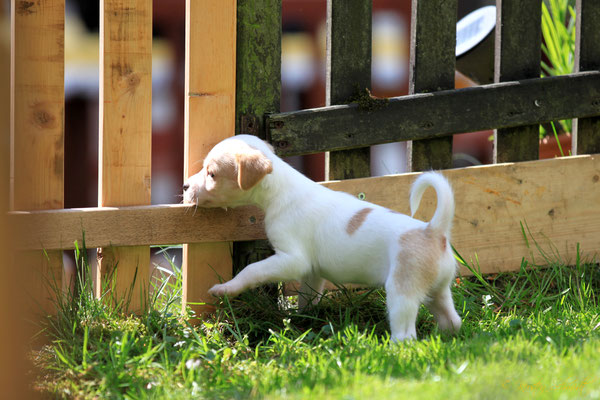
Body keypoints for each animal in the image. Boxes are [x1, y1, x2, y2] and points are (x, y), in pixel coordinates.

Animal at [180, 134, 462, 340]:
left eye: (211, 174)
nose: (184, 186)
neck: (283, 190)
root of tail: (433, 231)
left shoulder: (292, 260)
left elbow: (252, 270)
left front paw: (225, 289)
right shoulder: (312, 272)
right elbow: (307, 297)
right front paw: (304, 318)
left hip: (401, 293)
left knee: (406, 334)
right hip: (438, 290)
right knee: (452, 320)